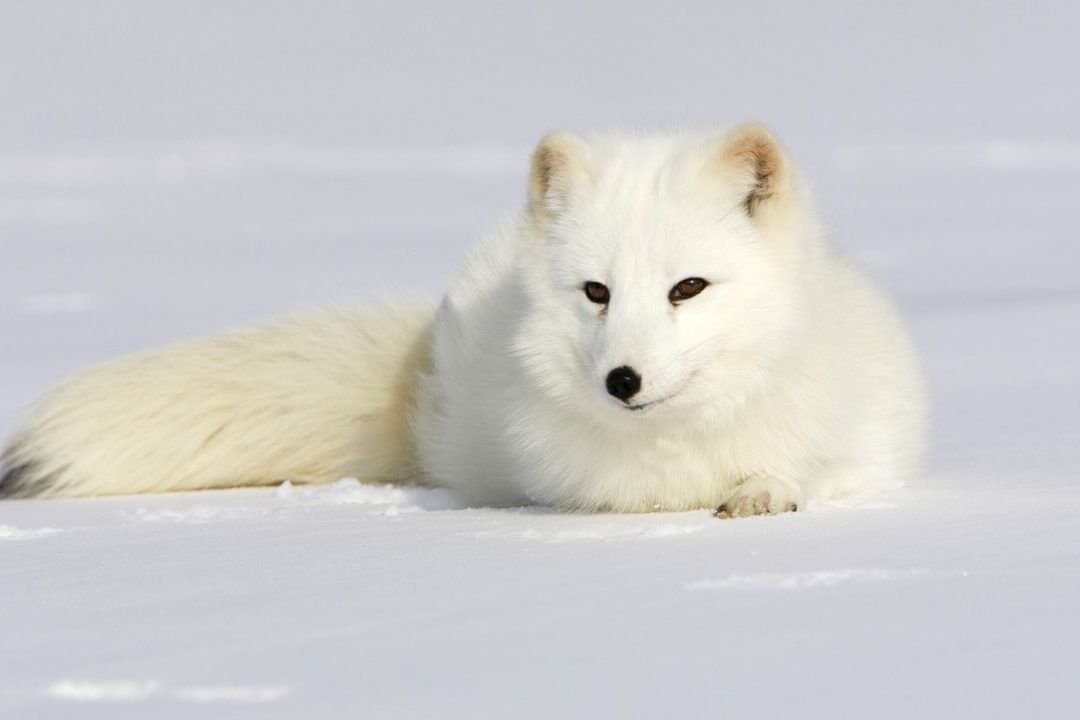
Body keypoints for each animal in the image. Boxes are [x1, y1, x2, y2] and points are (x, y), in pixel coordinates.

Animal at [0, 125, 926, 517]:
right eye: (596, 293)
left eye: (688, 288)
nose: (621, 380)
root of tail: (425, 370)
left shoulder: (867, 447)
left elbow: (813, 470)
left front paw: (765, 489)